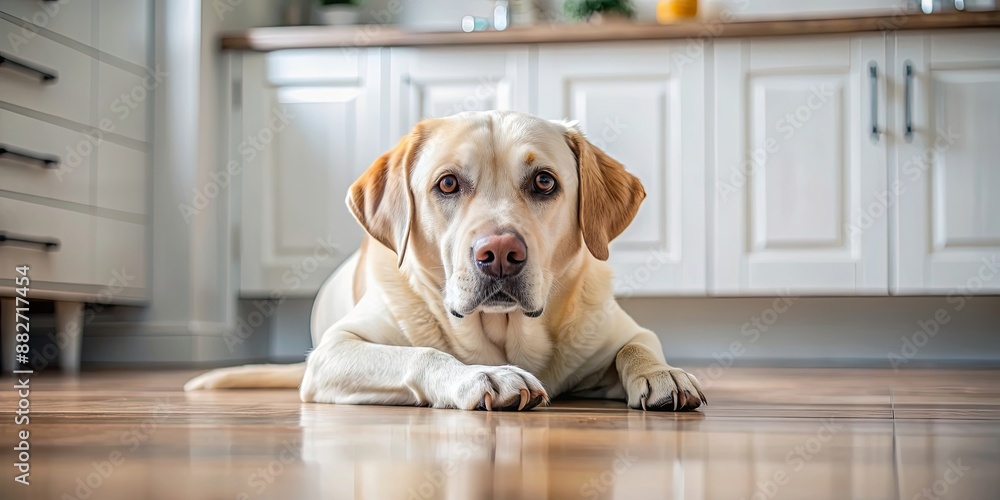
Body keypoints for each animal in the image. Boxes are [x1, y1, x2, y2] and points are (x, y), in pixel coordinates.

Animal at [188, 111, 704, 412]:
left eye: (544, 182)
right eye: (448, 184)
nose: (500, 255)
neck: (505, 335)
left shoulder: (619, 331)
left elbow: (637, 345)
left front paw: (663, 373)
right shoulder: (334, 352)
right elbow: (420, 353)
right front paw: (481, 376)